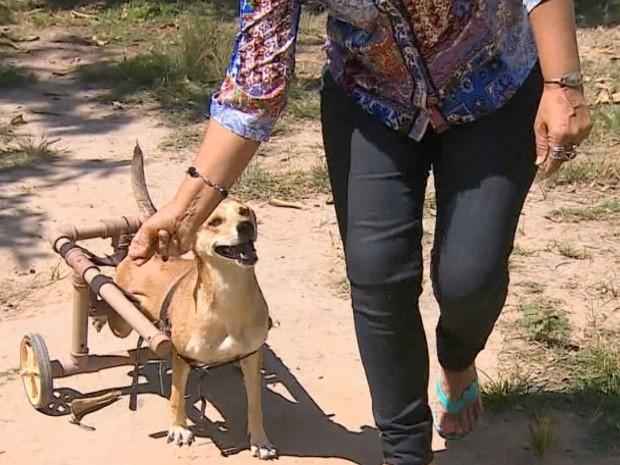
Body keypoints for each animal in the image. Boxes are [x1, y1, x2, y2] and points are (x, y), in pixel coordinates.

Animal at [113, 147, 276, 458]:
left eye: (244, 212)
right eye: (214, 222)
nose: (246, 226)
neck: (229, 297)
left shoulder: (252, 356)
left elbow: (256, 405)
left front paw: (260, 440)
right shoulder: (182, 357)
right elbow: (177, 394)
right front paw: (178, 427)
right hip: (123, 319)